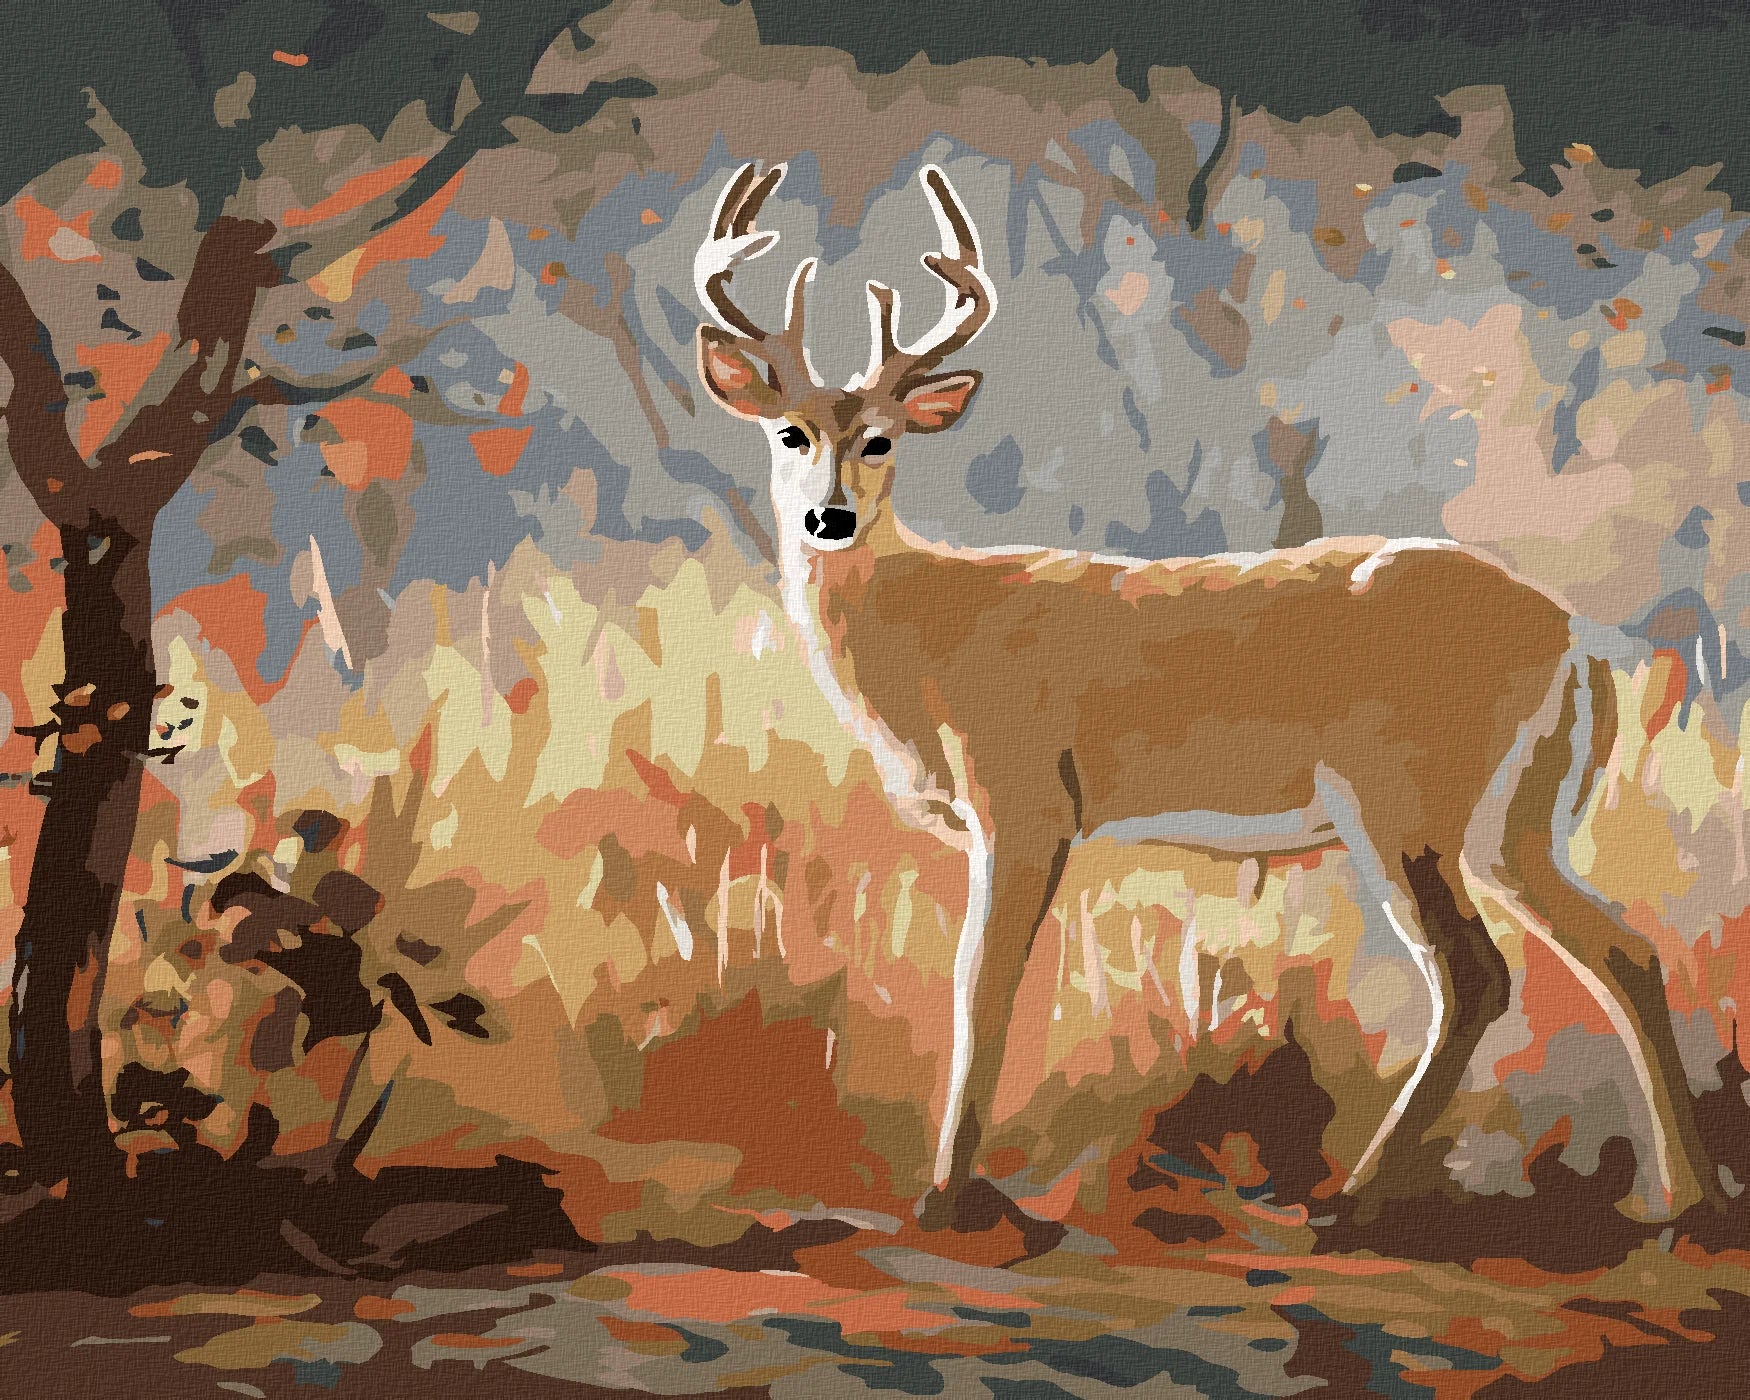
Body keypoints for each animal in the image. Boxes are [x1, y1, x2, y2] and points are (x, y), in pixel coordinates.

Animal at [691, 159, 1724, 1237]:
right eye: (789, 432)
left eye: (882, 441)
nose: (830, 516)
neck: (929, 638)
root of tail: (1575, 639)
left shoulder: (1023, 795)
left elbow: (984, 991)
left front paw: (945, 1195)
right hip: (1509, 821)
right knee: (1624, 949)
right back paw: (1684, 1195)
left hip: (1404, 796)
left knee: (1476, 974)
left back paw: (1349, 1197)